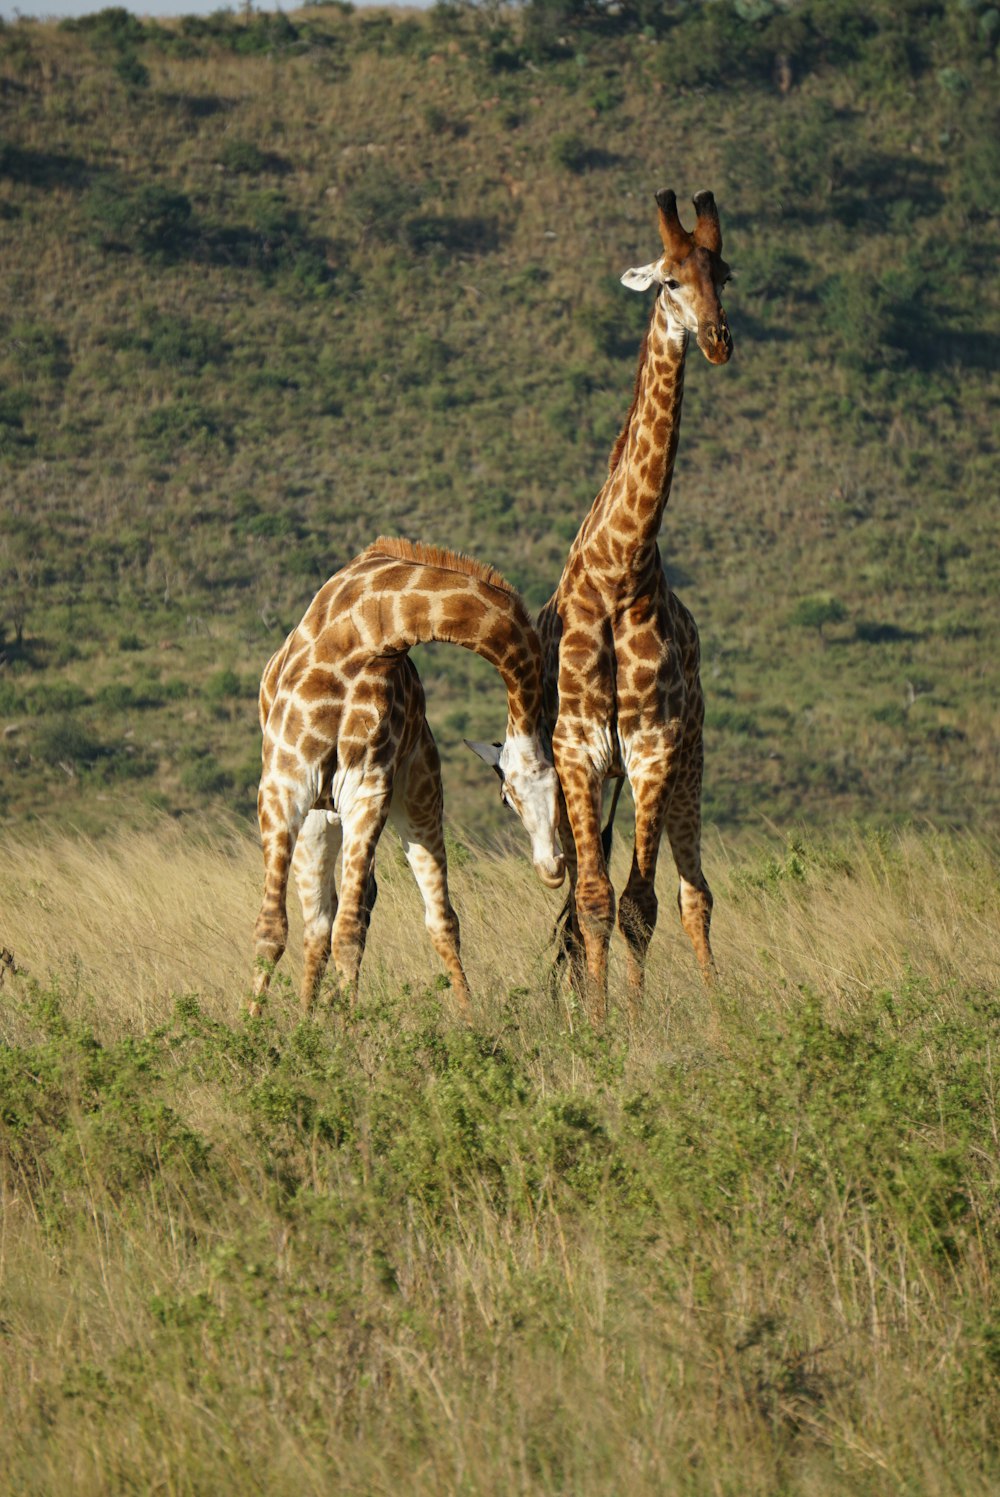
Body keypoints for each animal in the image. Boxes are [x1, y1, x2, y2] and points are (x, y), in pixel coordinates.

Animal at [249, 538, 562, 1017]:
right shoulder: (283, 785)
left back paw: (468, 1018)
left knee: (436, 918)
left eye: (561, 790)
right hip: (320, 819)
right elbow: (270, 929)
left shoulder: (368, 791)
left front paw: (348, 1029)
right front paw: (250, 1026)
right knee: (318, 920)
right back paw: (307, 1016)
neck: (368, 635)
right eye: (508, 798)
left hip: (419, 796)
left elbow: (350, 930)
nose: (553, 869)